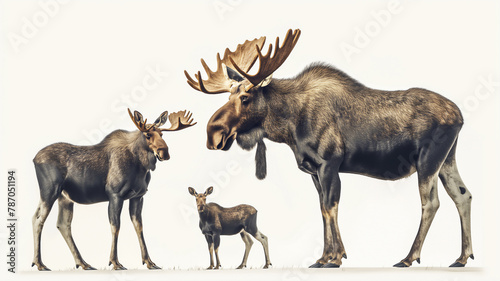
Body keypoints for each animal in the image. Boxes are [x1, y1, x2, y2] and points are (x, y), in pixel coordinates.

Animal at [31, 109, 195, 270]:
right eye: (148, 135)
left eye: (162, 134)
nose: (164, 152)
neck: (141, 167)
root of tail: (34, 159)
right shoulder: (115, 195)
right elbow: (115, 226)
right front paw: (115, 262)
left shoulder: (138, 196)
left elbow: (139, 226)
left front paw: (149, 262)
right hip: (50, 191)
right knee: (39, 220)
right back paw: (40, 264)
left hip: (64, 197)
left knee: (60, 223)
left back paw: (83, 263)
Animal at [186, 28, 474, 266]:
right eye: (229, 95)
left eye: (245, 97)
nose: (213, 134)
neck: (289, 126)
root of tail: (460, 116)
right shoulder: (314, 170)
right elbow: (322, 208)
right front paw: (325, 257)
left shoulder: (329, 163)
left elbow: (330, 207)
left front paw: (334, 258)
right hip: (447, 159)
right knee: (463, 195)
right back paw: (462, 257)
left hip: (428, 160)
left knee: (431, 202)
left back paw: (409, 257)